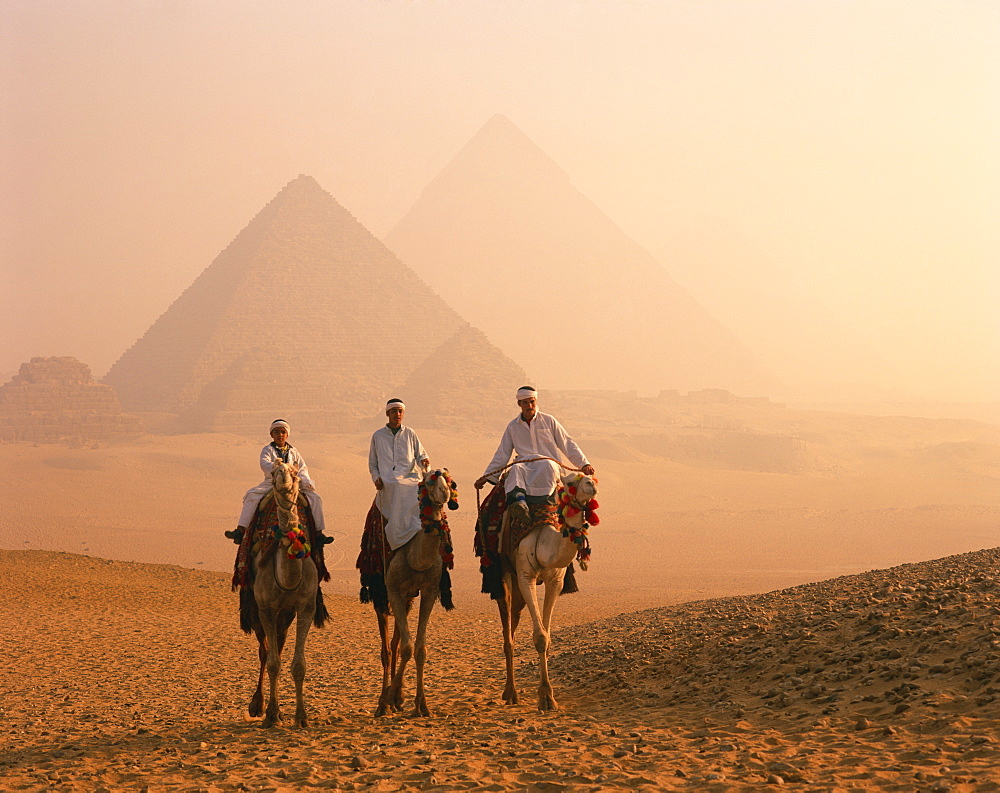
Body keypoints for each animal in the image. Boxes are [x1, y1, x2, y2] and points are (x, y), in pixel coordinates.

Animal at [242, 460, 324, 728]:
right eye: (274, 470)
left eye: (295, 471)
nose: (284, 480)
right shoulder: (266, 608)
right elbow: (273, 663)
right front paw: (270, 714)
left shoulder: (305, 606)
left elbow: (298, 664)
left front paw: (301, 716)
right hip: (256, 609)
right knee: (265, 652)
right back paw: (258, 706)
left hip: (285, 616)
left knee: (276, 645)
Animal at [374, 468, 456, 716]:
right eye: (429, 481)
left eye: (449, 480)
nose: (445, 492)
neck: (414, 556)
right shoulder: (392, 588)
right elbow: (407, 647)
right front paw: (391, 695)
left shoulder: (429, 590)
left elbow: (418, 649)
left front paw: (421, 704)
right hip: (381, 595)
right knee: (386, 649)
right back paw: (383, 704)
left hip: (408, 597)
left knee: (394, 643)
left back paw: (396, 700)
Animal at [488, 470, 596, 712]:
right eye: (569, 482)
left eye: (590, 477)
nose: (591, 484)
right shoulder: (525, 576)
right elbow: (539, 636)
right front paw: (545, 697)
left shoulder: (555, 580)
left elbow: (547, 637)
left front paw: (548, 695)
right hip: (505, 573)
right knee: (507, 629)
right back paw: (511, 693)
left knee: (514, 620)